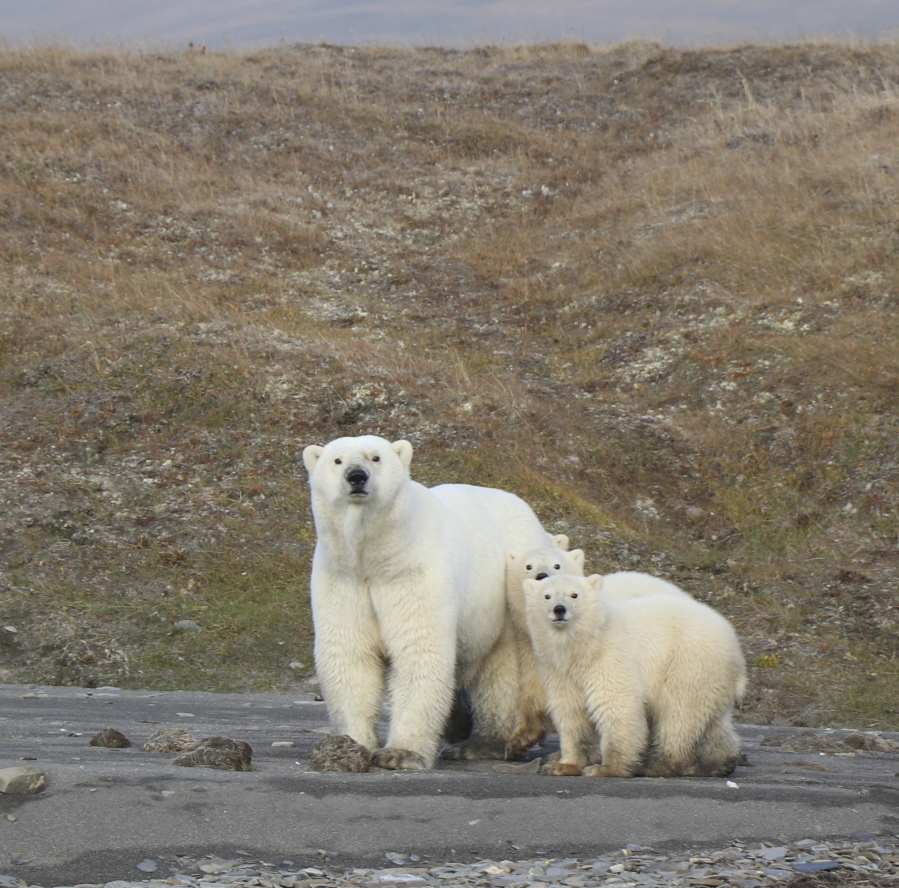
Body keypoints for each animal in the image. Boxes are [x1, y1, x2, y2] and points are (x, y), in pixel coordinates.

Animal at [302, 438, 556, 772]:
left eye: (375, 457)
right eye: (337, 460)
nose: (356, 476)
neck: (376, 556)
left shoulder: (413, 573)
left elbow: (418, 649)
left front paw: (400, 753)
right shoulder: (343, 578)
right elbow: (349, 652)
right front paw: (352, 743)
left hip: (507, 595)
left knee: (505, 671)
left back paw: (483, 743)